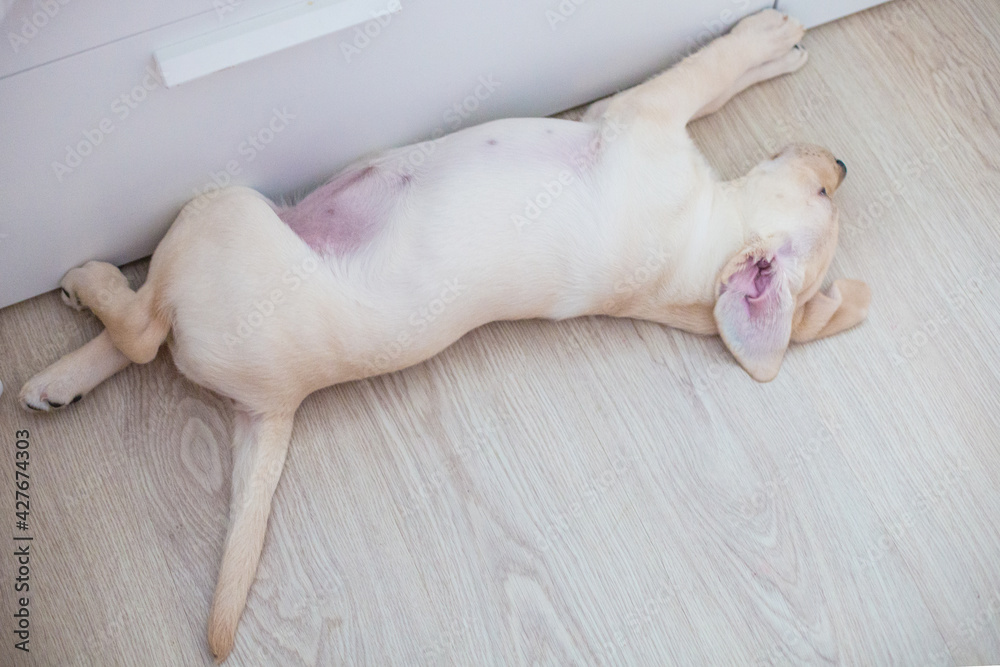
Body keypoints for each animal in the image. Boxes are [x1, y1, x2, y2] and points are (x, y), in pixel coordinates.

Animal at [21, 10, 868, 664]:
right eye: (826, 191)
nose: (841, 162)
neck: (700, 260)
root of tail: (278, 399)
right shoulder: (638, 120)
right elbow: (716, 78)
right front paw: (782, 44)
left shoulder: (638, 114)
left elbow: (703, 68)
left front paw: (765, 35)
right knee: (138, 328)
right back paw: (54, 383)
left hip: (220, 214)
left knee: (143, 327)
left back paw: (88, 283)